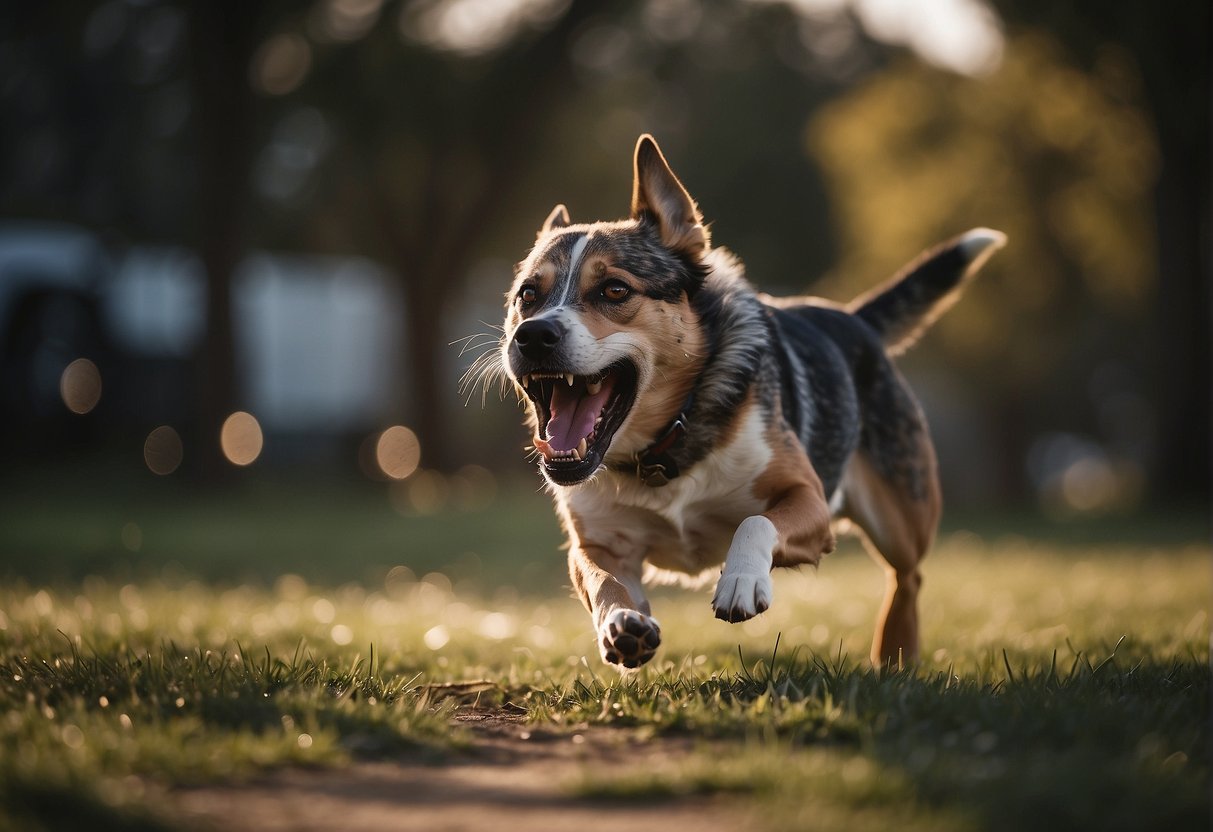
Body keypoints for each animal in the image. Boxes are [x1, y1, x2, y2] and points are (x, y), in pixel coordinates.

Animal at [492, 135, 1004, 669]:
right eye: (527, 295)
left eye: (614, 289)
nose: (533, 335)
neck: (666, 445)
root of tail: (853, 318)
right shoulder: (598, 542)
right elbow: (601, 580)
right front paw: (621, 622)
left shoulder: (809, 498)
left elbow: (757, 521)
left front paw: (740, 580)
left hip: (901, 523)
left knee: (908, 577)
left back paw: (895, 657)